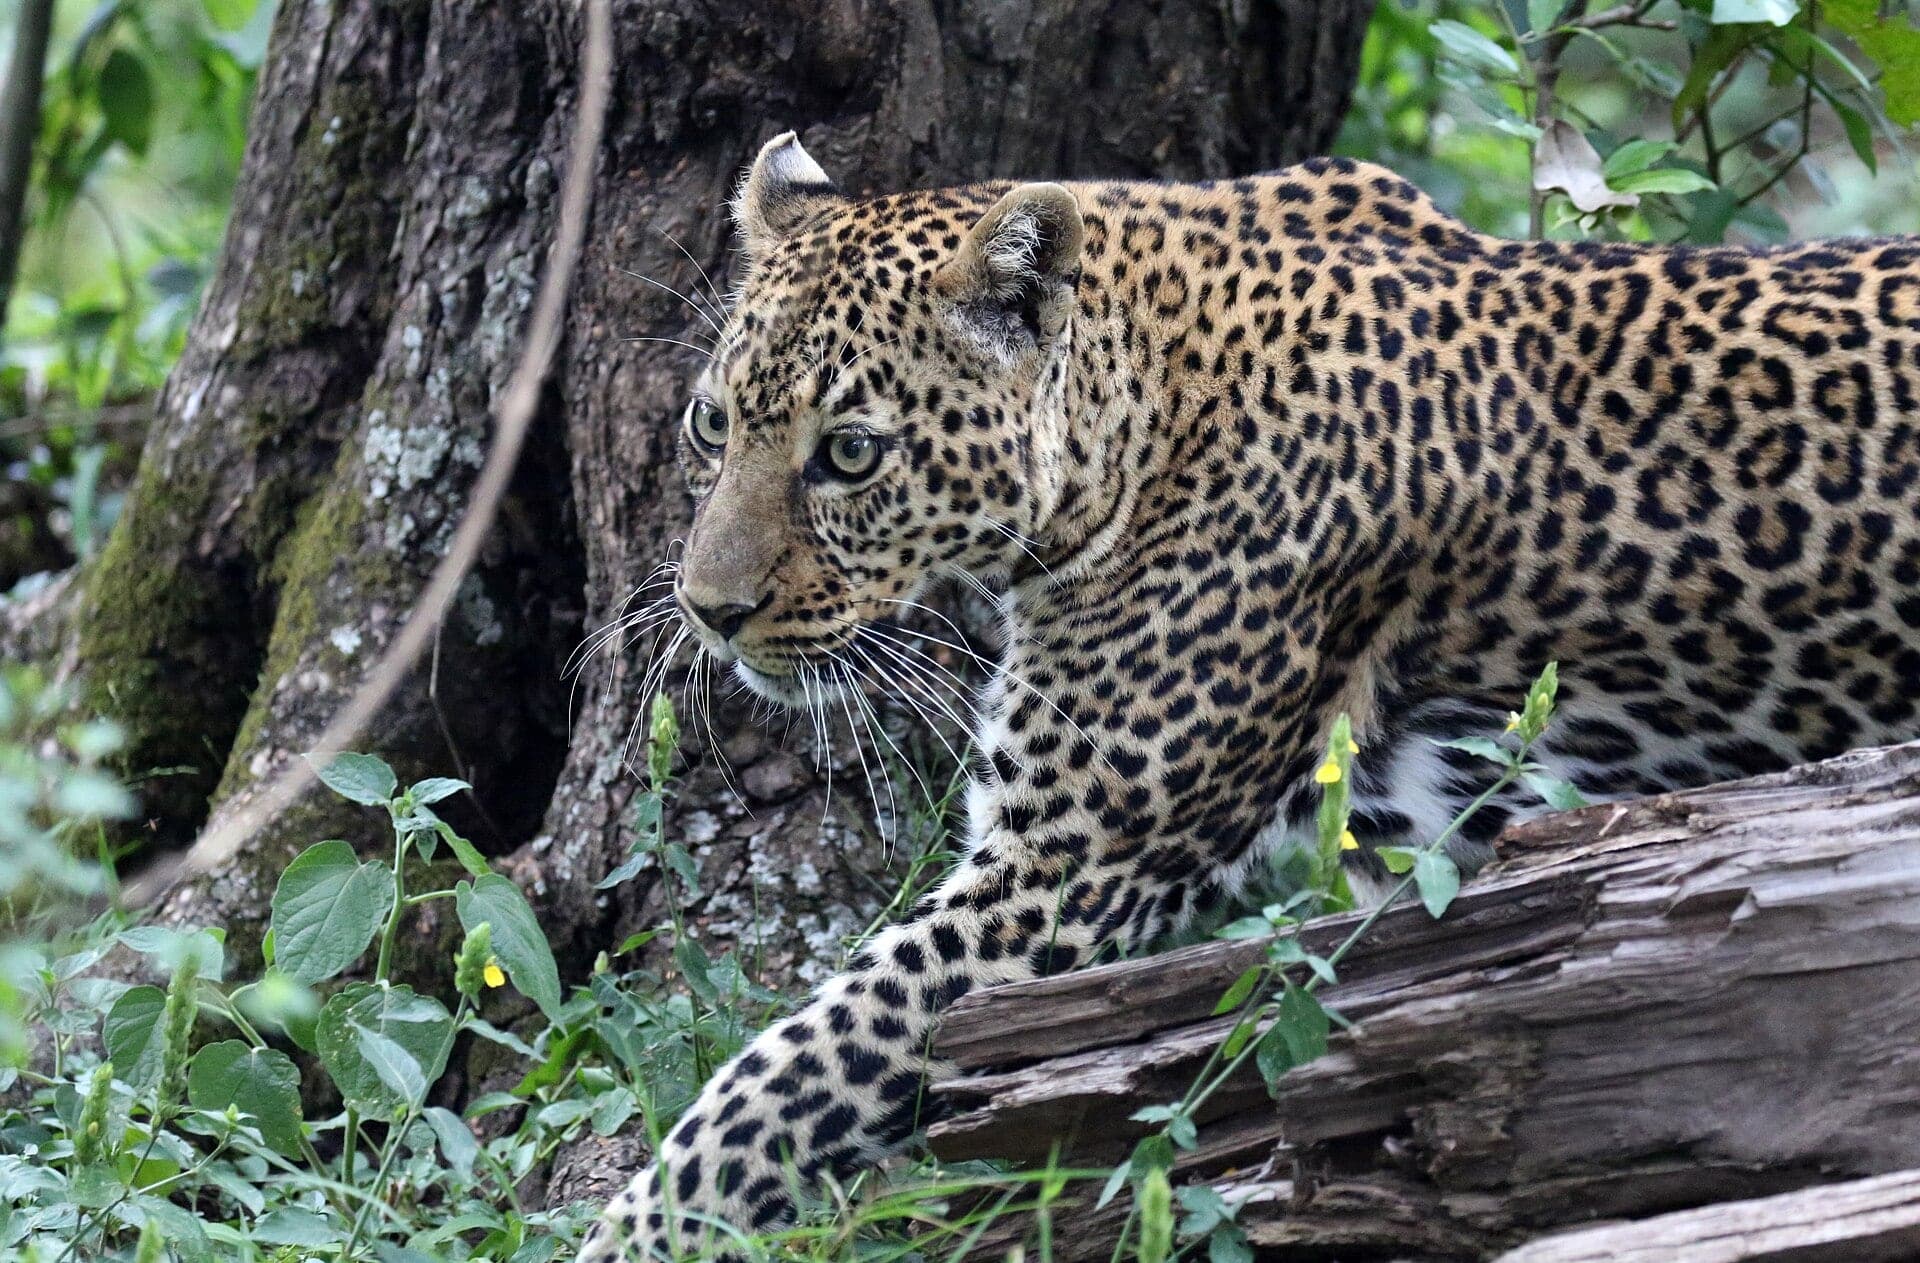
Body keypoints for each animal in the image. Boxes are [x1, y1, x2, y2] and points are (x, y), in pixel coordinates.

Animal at [580, 130, 1920, 1260]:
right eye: (711, 424)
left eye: (852, 453)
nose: (708, 608)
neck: (1138, 408)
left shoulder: (1058, 874)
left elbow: (768, 1096)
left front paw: (624, 1238)